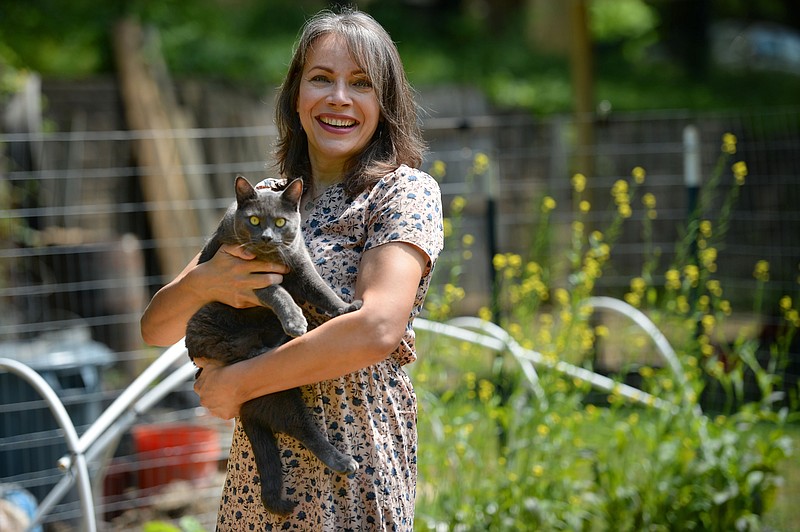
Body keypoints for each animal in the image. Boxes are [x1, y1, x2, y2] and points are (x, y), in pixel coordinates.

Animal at [184, 175, 360, 516]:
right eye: (254, 220)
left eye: (280, 222)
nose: (266, 237)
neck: (274, 258)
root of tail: (247, 410)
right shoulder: (250, 278)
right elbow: (278, 293)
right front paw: (295, 320)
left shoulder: (302, 268)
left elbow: (323, 290)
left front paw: (346, 308)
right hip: (207, 322)